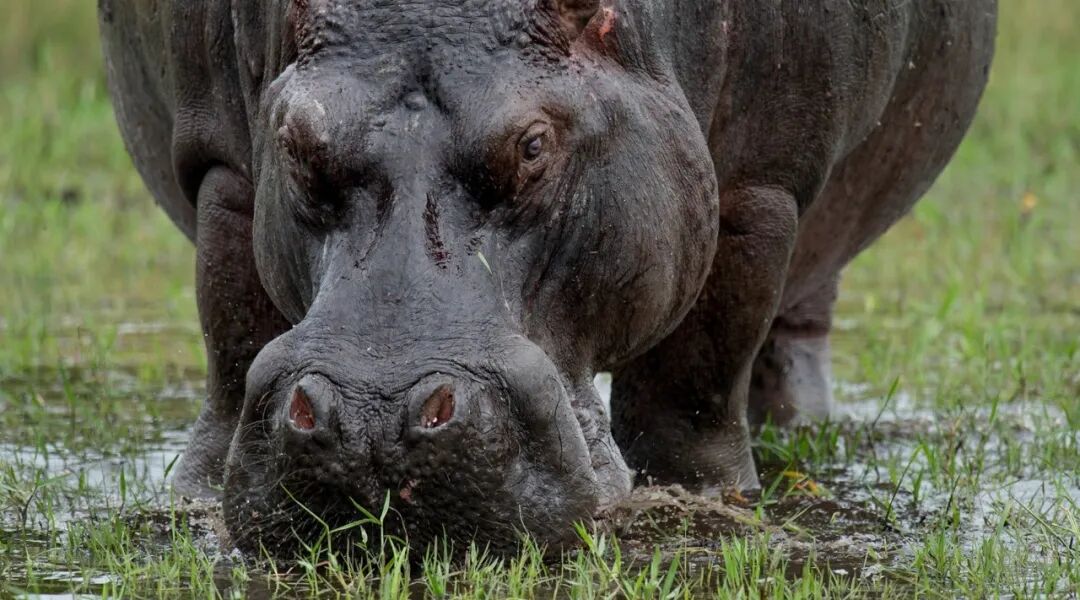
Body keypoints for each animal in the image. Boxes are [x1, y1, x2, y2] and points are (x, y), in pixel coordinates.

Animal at [98, 0, 996, 554]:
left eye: (534, 144)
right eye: (295, 142)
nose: (370, 420)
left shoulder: (762, 191)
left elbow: (696, 378)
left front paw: (710, 502)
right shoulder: (222, 166)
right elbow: (231, 331)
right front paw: (192, 498)